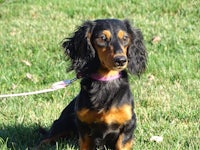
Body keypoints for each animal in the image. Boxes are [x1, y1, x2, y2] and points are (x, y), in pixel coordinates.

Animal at [39, 18, 147, 149]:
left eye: (125, 38)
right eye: (102, 38)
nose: (121, 60)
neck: (106, 81)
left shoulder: (128, 125)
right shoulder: (83, 126)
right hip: (61, 124)